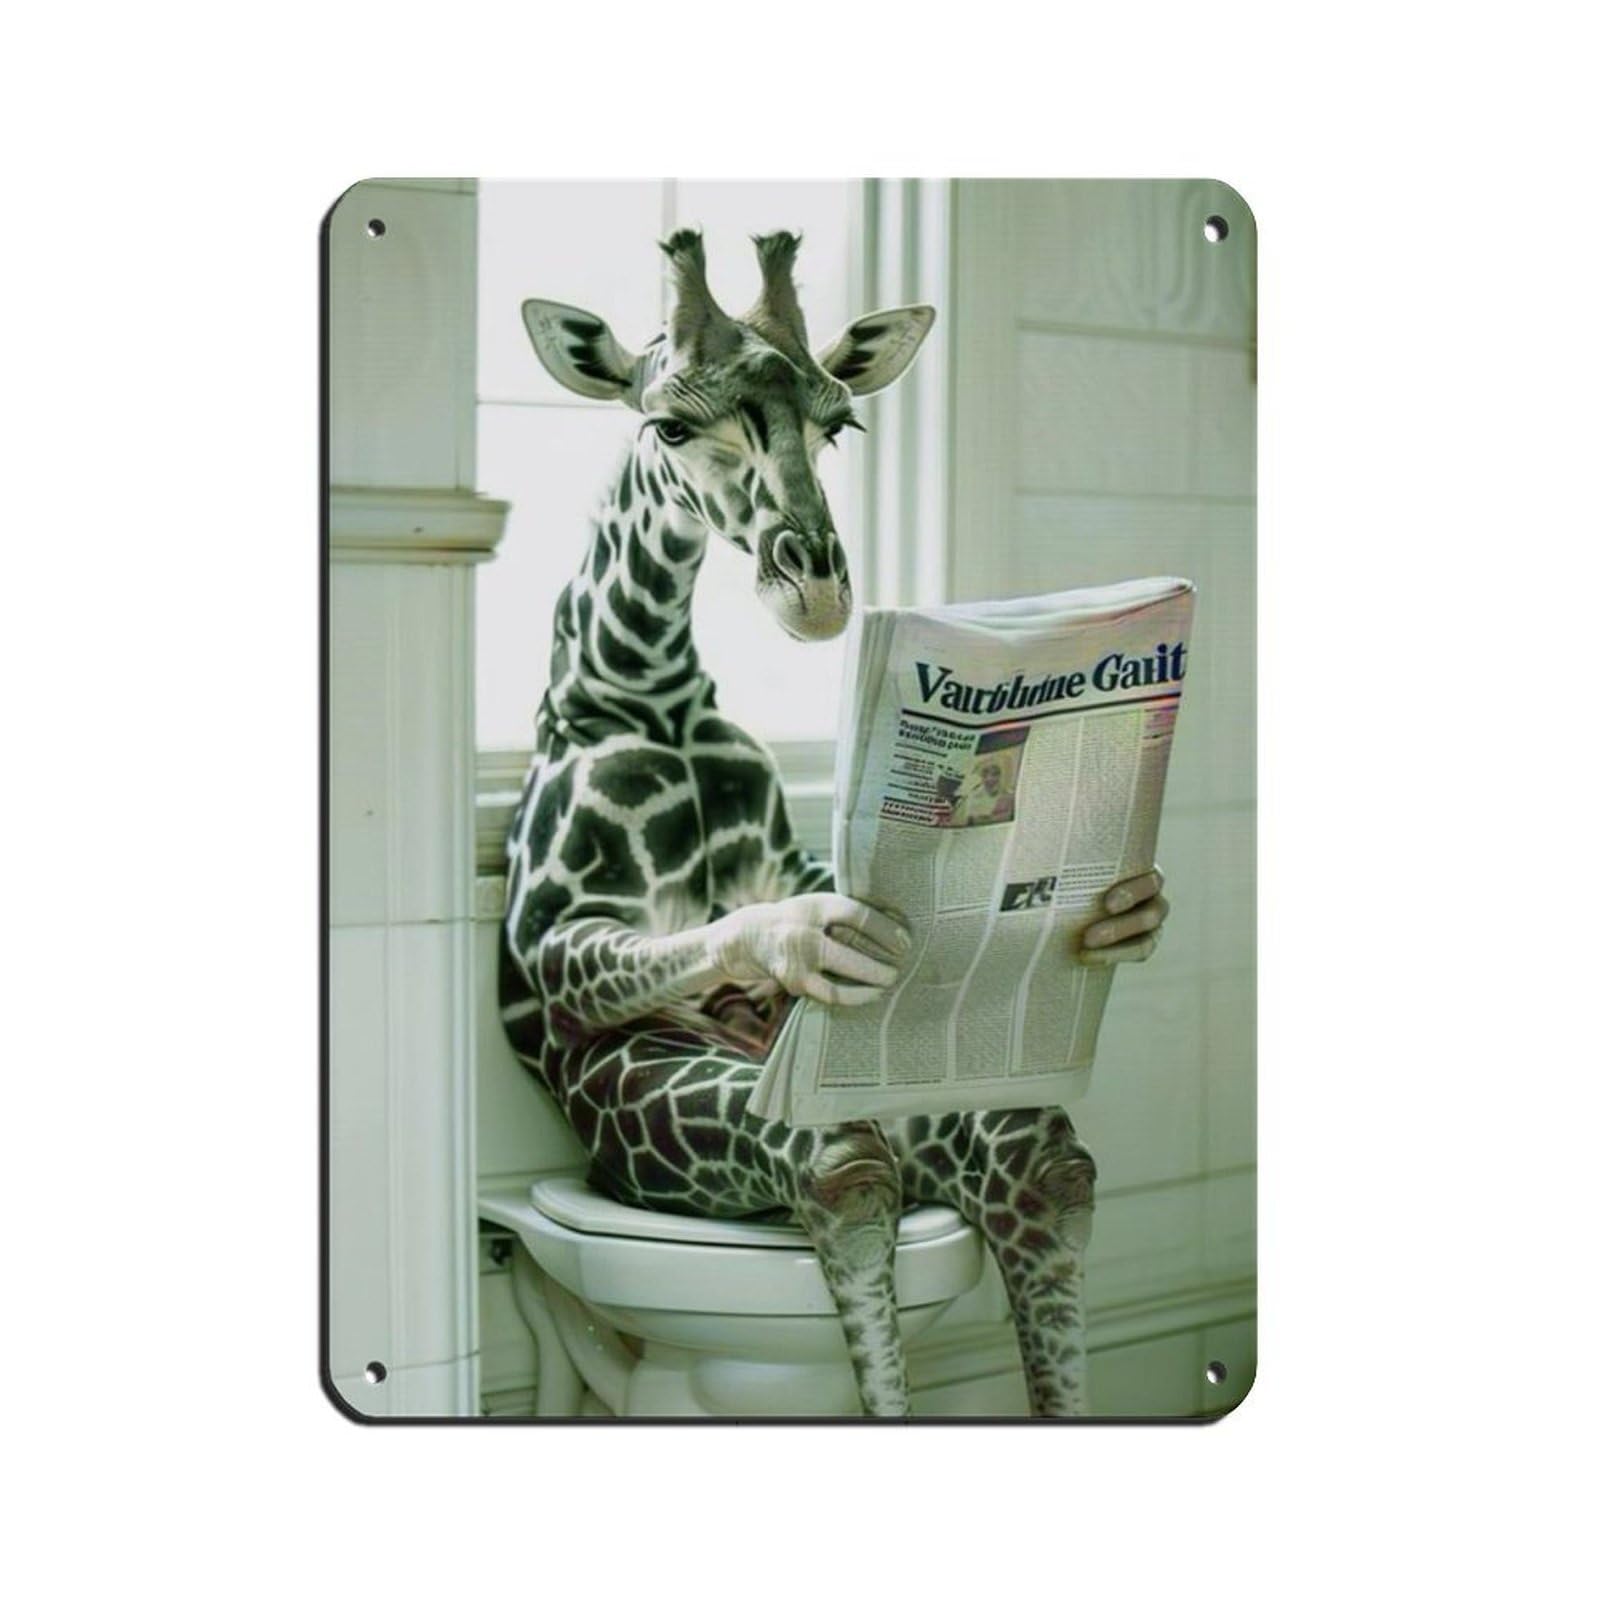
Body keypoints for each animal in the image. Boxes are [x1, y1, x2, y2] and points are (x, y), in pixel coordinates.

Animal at [500, 230, 1169, 1417]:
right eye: (668, 424)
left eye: (838, 424)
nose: (815, 595)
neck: (643, 687)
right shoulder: (547, 933)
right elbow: (709, 931)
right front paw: (800, 939)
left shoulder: (800, 853)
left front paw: (1127, 912)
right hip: (734, 1113)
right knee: (847, 1174)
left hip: (955, 1100)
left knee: (1048, 1171)